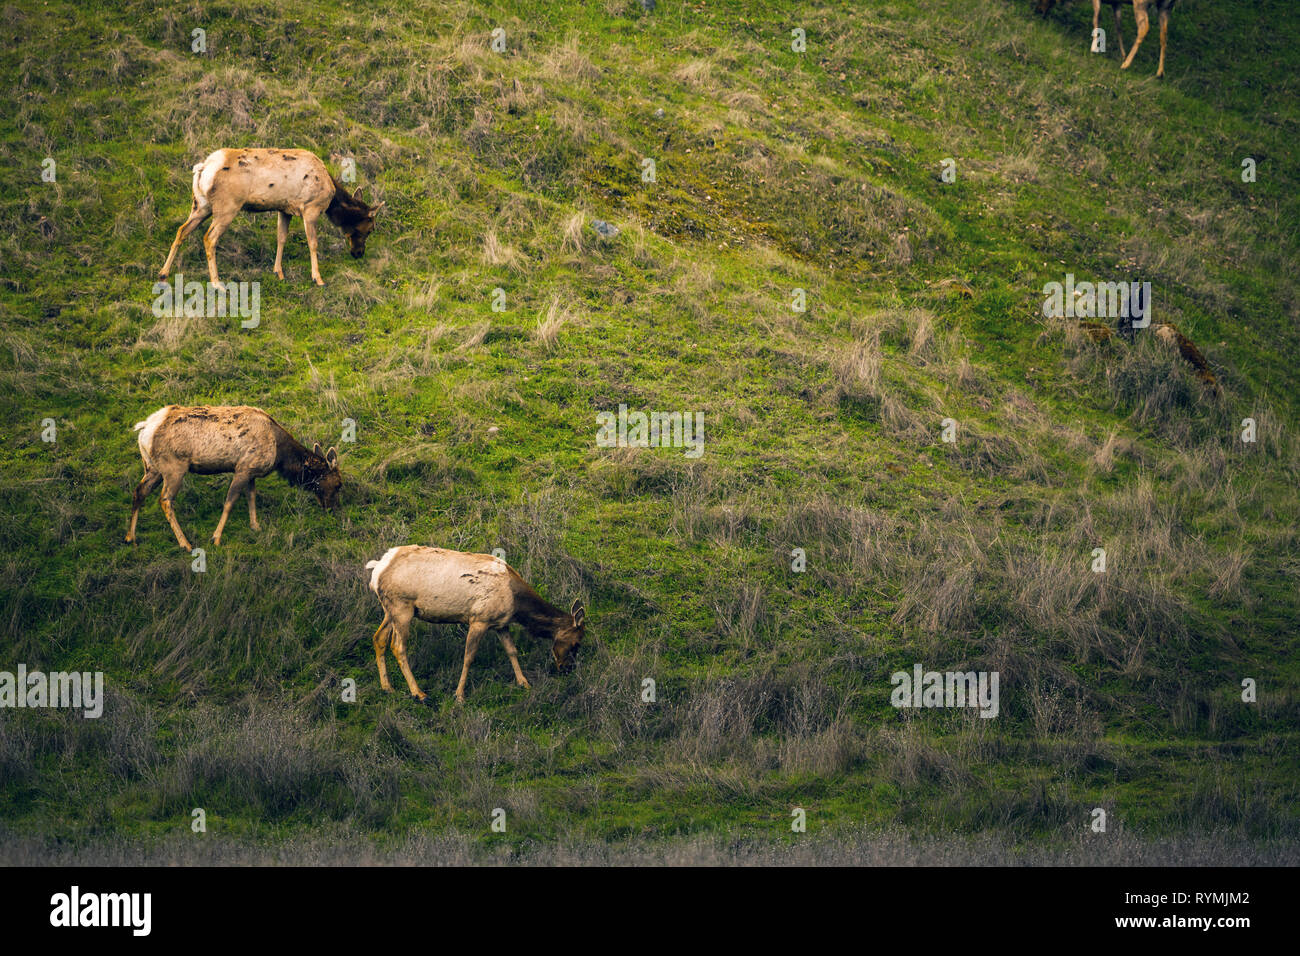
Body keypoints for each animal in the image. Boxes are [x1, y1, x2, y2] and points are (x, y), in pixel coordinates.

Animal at [122, 405, 340, 554]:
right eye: (338, 484)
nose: (332, 509)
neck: (280, 455)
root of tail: (144, 429)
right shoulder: (243, 468)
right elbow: (230, 501)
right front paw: (216, 538)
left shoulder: (251, 471)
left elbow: (251, 497)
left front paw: (255, 526)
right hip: (173, 466)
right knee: (165, 499)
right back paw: (185, 543)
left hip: (152, 467)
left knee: (139, 492)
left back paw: (130, 537)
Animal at [156, 147, 379, 290]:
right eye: (370, 228)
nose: (358, 253)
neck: (331, 198)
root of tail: (202, 168)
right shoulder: (310, 208)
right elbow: (313, 243)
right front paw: (318, 278)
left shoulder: (285, 209)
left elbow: (281, 238)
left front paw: (278, 272)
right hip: (227, 206)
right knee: (209, 238)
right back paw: (217, 284)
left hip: (201, 205)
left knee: (182, 230)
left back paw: (163, 273)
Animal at [366, 546, 590, 702]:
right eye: (576, 643)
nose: (567, 669)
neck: (516, 604)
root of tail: (377, 570)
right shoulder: (479, 619)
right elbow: (469, 657)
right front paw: (459, 695)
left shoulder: (500, 623)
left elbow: (512, 651)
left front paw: (524, 683)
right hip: (402, 606)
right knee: (398, 646)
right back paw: (419, 693)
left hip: (390, 609)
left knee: (379, 638)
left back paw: (387, 687)